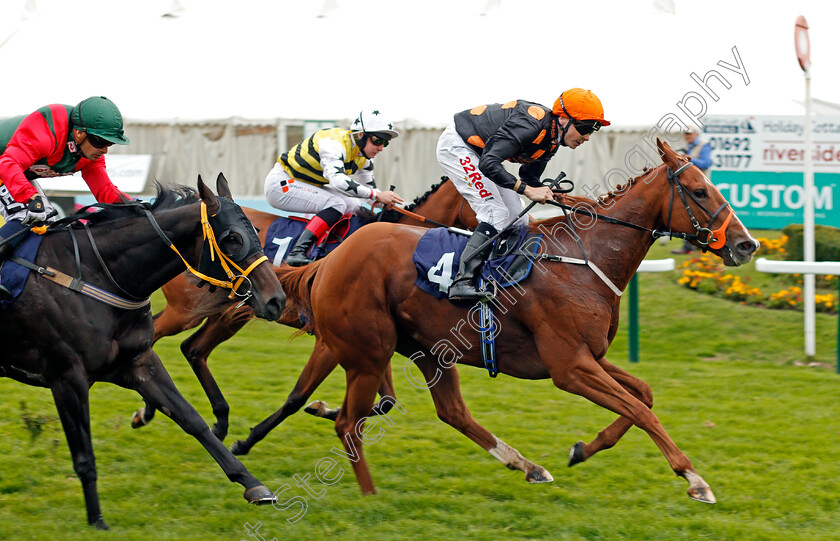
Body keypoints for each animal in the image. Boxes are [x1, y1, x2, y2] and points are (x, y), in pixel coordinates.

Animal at [0, 173, 286, 528]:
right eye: (232, 238)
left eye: (257, 232)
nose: (276, 300)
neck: (96, 275)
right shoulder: (66, 376)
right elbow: (84, 456)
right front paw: (97, 521)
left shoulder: (139, 363)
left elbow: (192, 420)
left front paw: (253, 484)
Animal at [136, 177, 480, 438]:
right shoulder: (331, 339)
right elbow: (301, 397)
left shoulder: (371, 340)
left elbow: (387, 402)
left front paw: (326, 409)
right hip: (185, 311)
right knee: (151, 338)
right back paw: (148, 409)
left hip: (231, 314)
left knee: (193, 349)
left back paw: (217, 419)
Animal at [230, 139, 760, 502]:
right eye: (699, 190)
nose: (746, 244)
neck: (584, 258)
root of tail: (329, 260)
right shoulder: (570, 367)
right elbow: (641, 409)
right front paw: (695, 479)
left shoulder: (590, 357)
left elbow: (642, 396)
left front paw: (582, 449)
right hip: (367, 349)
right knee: (348, 421)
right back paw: (368, 496)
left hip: (424, 348)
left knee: (450, 412)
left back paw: (527, 465)